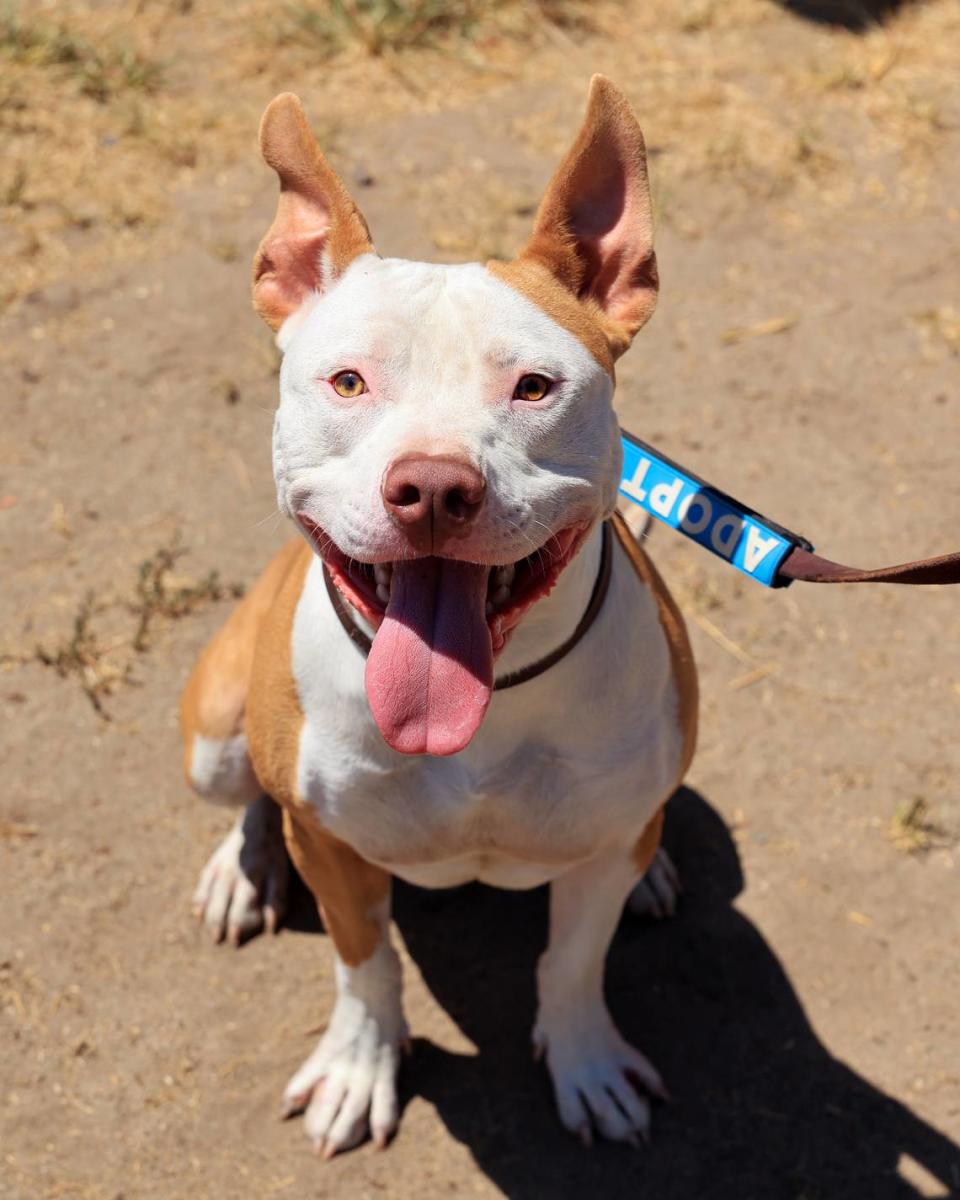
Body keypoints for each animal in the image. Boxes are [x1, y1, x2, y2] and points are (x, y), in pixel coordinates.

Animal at [177, 72, 696, 1152]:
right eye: (348, 381)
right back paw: (242, 868)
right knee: (248, 793)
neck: (487, 704)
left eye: (534, 386)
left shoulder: (595, 858)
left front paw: (587, 1063)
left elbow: (573, 962)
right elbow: (364, 962)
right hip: (212, 735)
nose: (432, 488)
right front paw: (359, 1065)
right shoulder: (334, 851)